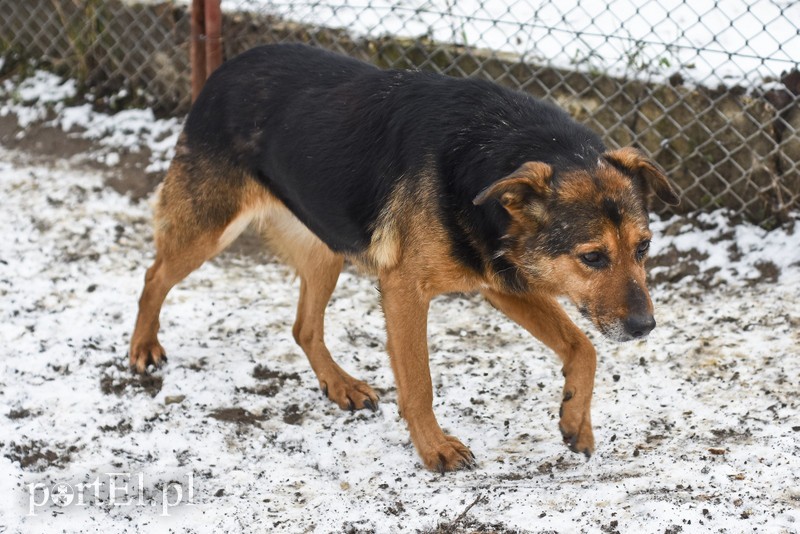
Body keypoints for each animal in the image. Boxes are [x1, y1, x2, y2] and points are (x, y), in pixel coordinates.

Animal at [128, 45, 680, 474]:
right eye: (592, 257)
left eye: (644, 248)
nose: (645, 328)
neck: (488, 152)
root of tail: (230, 65)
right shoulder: (405, 291)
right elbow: (419, 384)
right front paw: (435, 449)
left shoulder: (500, 282)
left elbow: (582, 348)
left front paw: (575, 422)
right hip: (209, 229)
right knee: (154, 275)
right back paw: (143, 348)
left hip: (327, 245)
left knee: (304, 327)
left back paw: (340, 386)